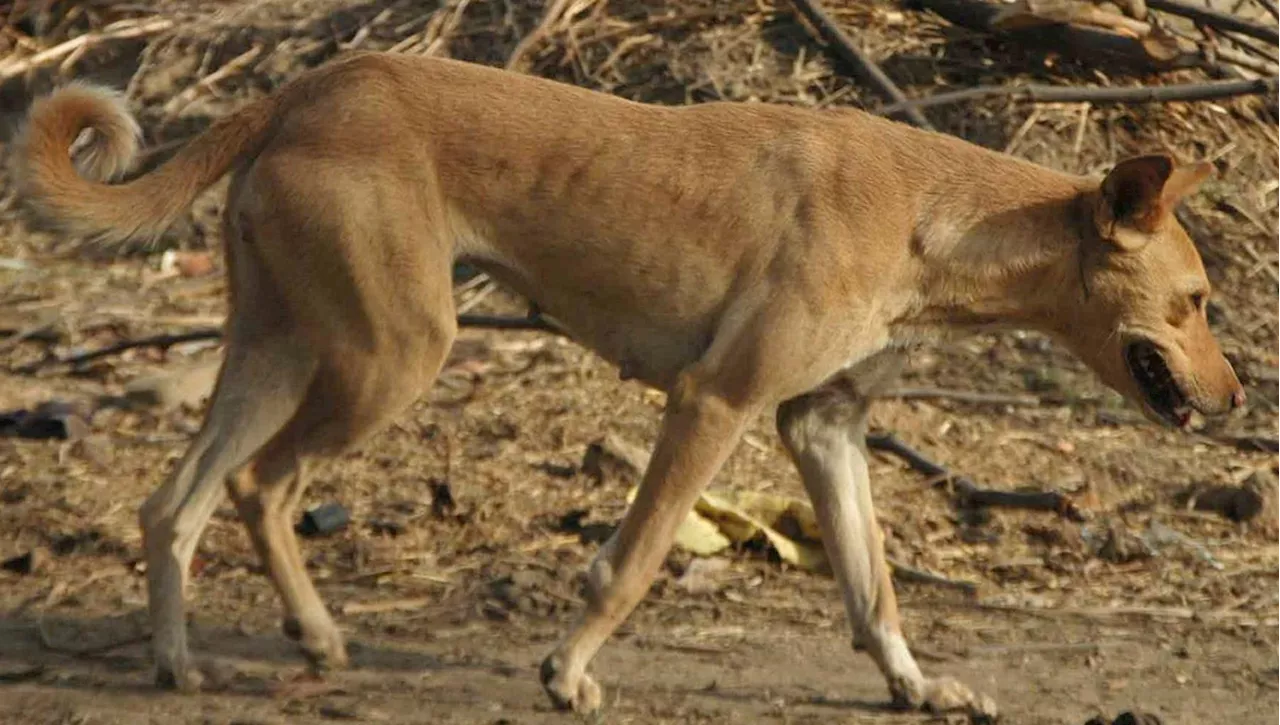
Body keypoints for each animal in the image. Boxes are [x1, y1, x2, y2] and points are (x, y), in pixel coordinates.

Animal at [15, 51, 1244, 722]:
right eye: (1192, 303)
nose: (1236, 401)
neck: (932, 215)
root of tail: (309, 87)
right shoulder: (713, 402)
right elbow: (635, 558)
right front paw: (566, 673)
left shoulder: (823, 428)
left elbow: (875, 590)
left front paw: (916, 684)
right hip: (390, 353)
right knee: (261, 487)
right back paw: (301, 638)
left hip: (277, 349)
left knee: (173, 503)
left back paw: (184, 659)